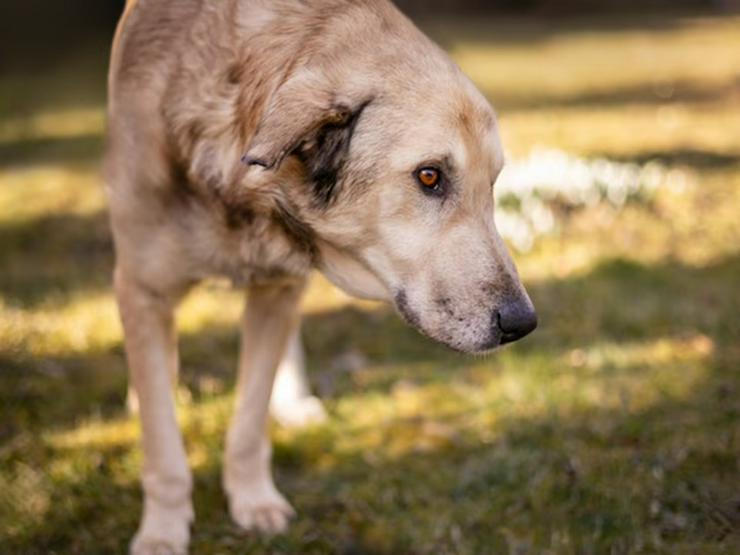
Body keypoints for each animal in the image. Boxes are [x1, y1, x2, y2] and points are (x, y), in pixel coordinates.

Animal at [104, 1, 536, 552]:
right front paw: (162, 530)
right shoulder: (143, 288)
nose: (523, 324)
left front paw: (252, 501)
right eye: (429, 176)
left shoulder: (279, 287)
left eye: (493, 184)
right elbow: (163, 447)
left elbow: (249, 423)